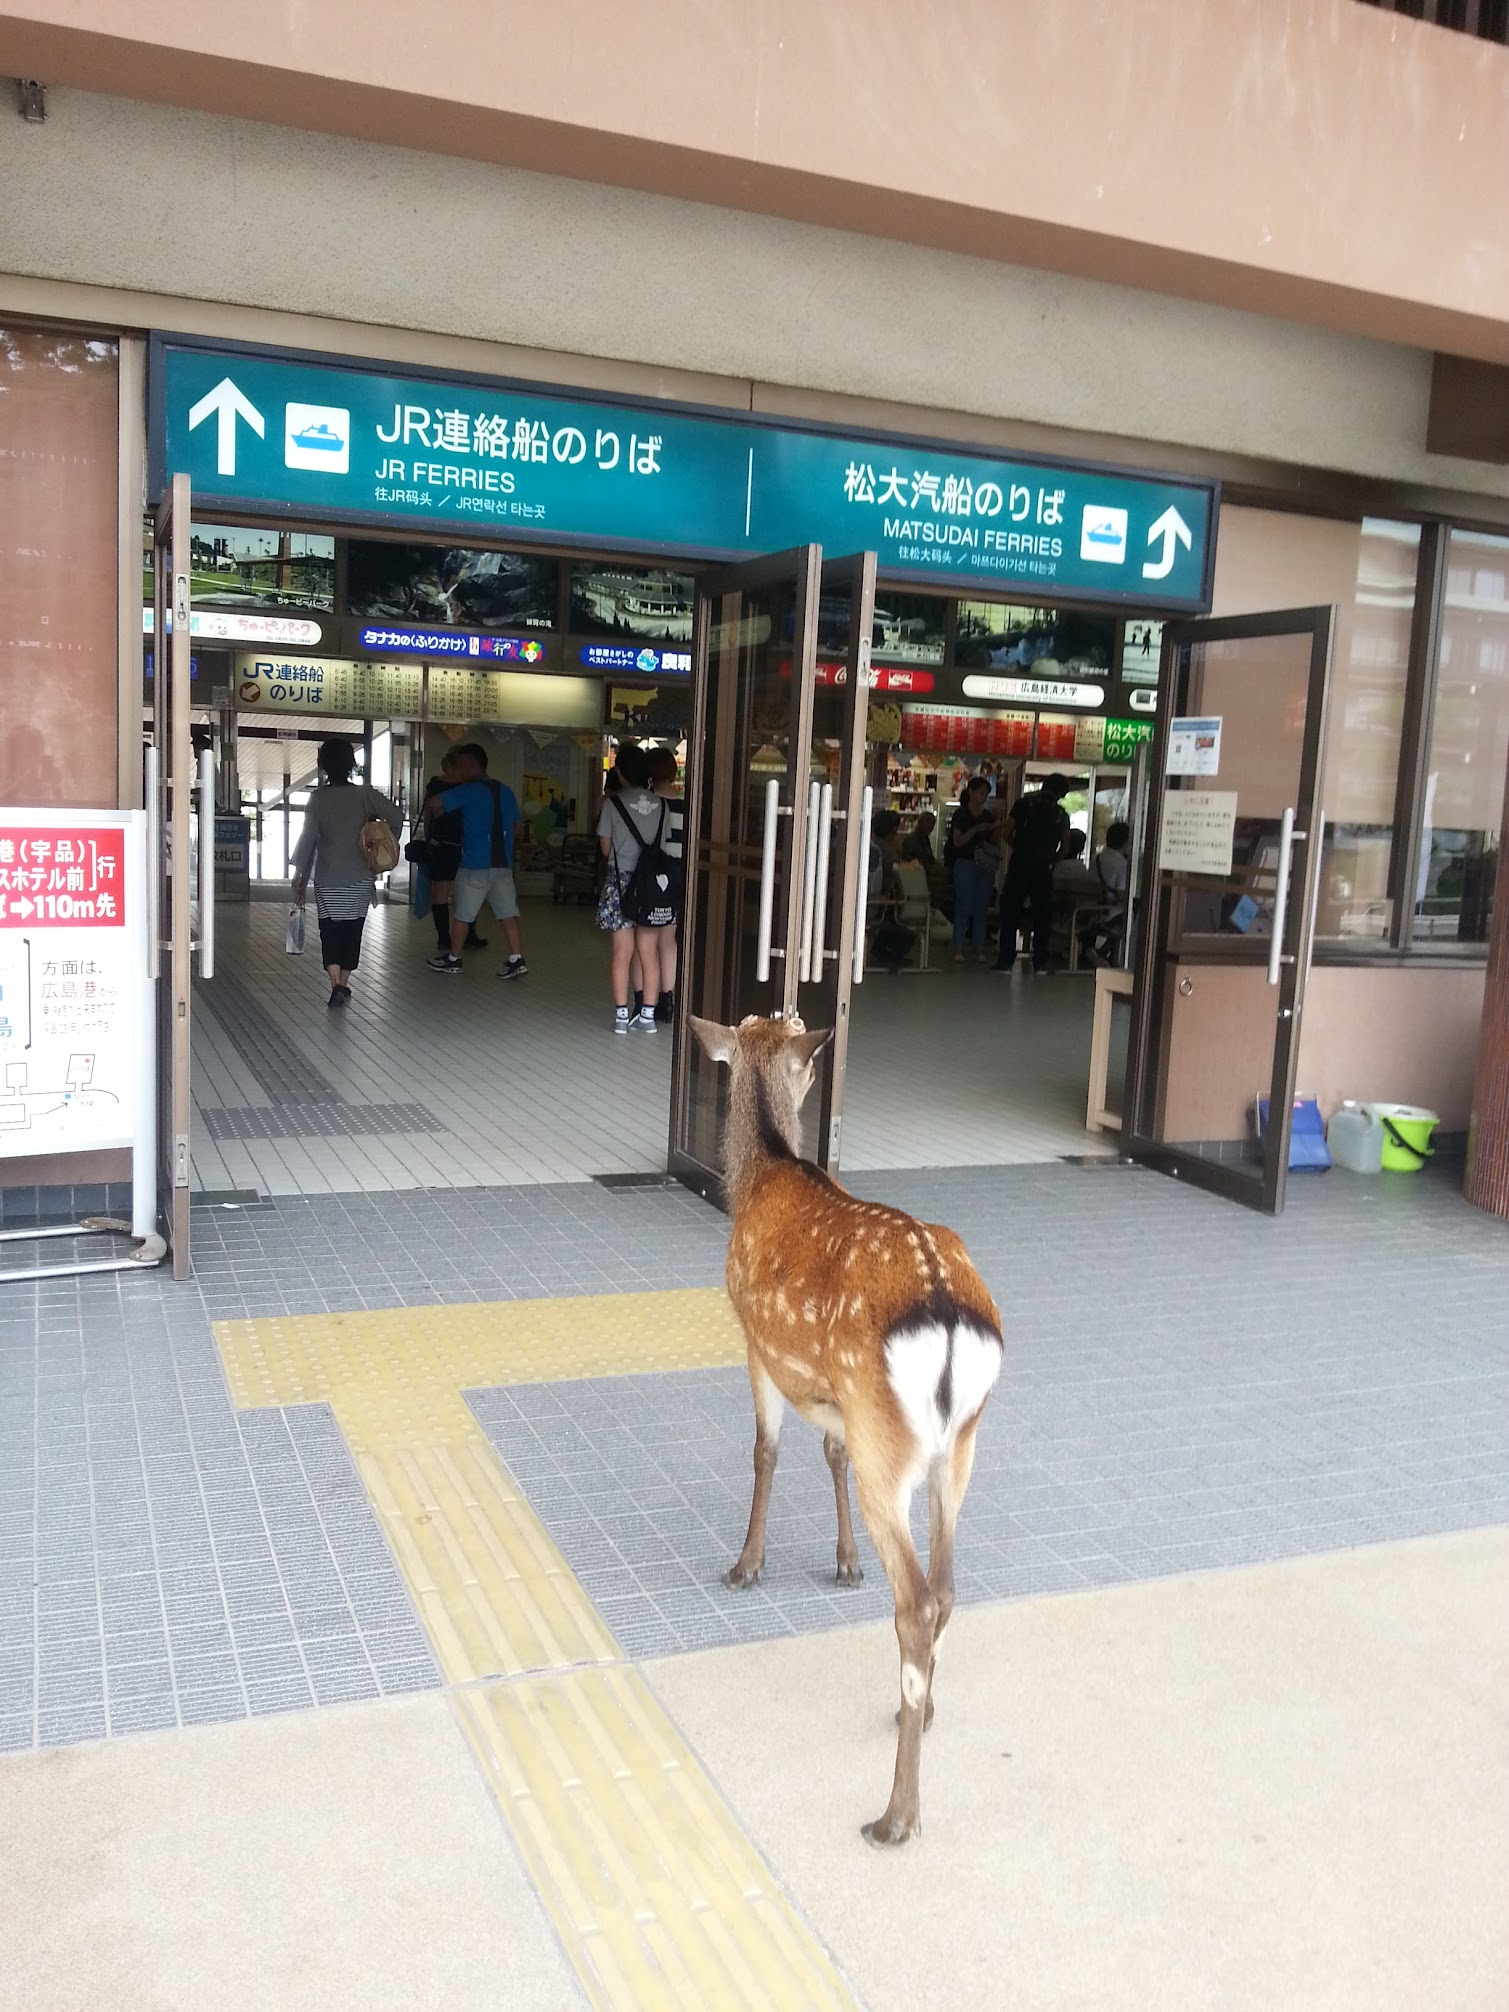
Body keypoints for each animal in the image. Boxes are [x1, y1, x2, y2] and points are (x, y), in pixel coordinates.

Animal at [696, 1014, 1006, 1842]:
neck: (762, 1172)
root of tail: (952, 1317)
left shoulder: (756, 1341)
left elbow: (766, 1450)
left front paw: (745, 1566)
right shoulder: (838, 1402)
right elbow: (828, 1452)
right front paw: (842, 1564)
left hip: (889, 1441)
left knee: (916, 1602)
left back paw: (896, 1814)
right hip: (957, 1445)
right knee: (949, 1584)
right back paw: (920, 1713)